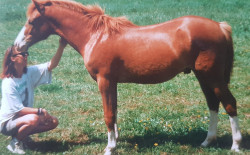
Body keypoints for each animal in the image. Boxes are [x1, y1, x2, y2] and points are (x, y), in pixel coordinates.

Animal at [14, 0, 242, 154]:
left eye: (32, 21)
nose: (17, 46)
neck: (97, 36)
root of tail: (220, 26)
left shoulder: (105, 81)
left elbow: (108, 114)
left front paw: (109, 148)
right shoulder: (112, 83)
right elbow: (114, 111)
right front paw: (115, 141)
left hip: (212, 76)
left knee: (229, 103)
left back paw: (236, 145)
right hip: (203, 76)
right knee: (213, 103)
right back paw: (207, 141)